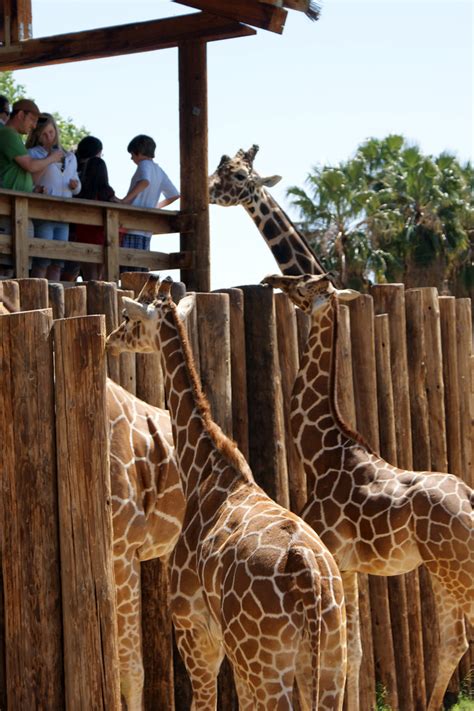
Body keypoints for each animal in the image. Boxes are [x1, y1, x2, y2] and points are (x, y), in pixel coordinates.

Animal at [107, 274, 347, 711]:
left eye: (129, 318)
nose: (110, 340)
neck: (205, 468)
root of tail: (309, 575)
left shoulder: (195, 629)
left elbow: (203, 702)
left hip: (267, 662)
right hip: (331, 658)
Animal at [262, 272, 474, 711]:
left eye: (305, 283)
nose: (272, 278)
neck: (319, 454)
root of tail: (469, 499)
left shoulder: (333, 556)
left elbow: (337, 654)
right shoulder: (350, 566)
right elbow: (355, 654)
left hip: (453, 566)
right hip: (440, 567)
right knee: (453, 641)